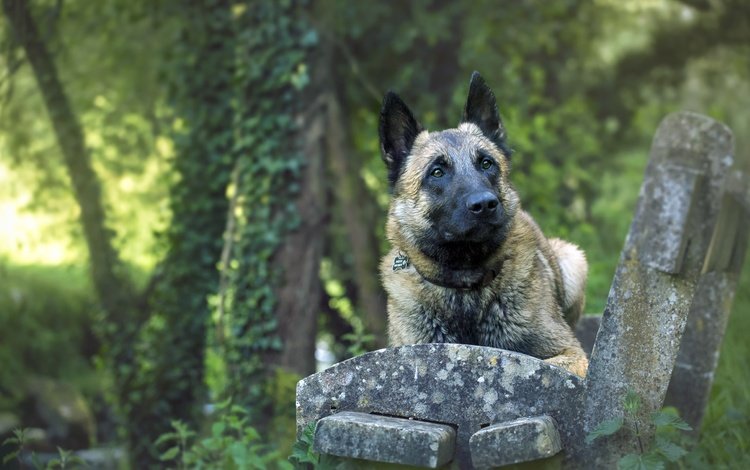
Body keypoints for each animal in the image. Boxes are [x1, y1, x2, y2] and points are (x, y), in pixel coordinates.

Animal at [378, 70, 592, 378]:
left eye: (487, 163)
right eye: (437, 172)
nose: (485, 204)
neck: (465, 283)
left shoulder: (570, 353)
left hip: (573, 260)